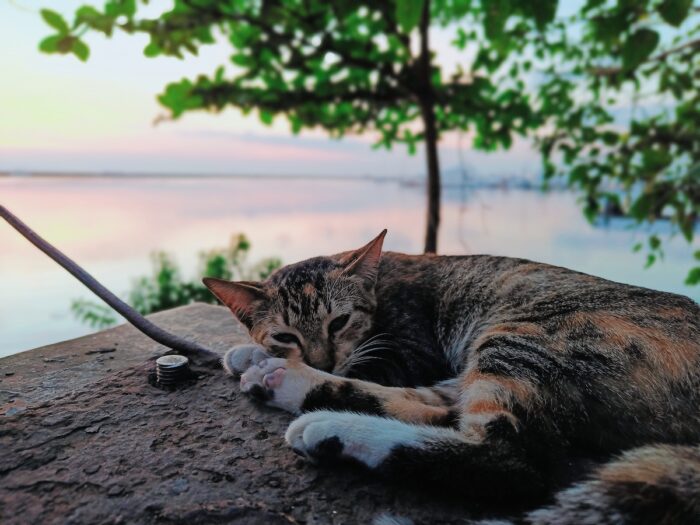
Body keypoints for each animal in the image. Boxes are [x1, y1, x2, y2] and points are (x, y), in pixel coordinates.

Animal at [202, 231, 700, 520]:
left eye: (339, 322)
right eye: (285, 334)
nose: (321, 361)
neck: (379, 286)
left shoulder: (408, 349)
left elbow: (367, 365)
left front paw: (274, 360)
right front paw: (255, 350)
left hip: (524, 338)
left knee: (512, 461)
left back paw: (320, 417)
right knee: (439, 409)